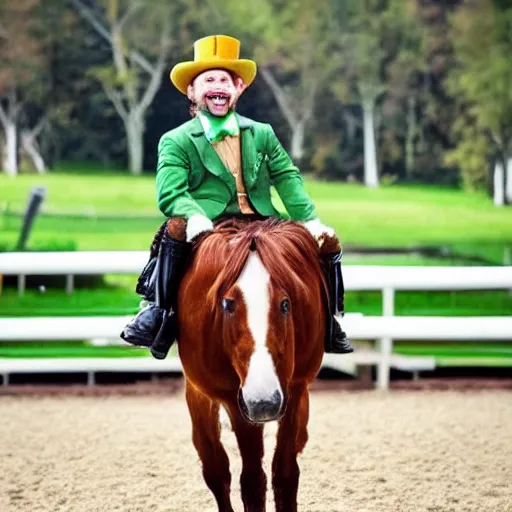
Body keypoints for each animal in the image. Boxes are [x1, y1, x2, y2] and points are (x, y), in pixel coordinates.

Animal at [176, 217, 328, 512]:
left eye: (285, 304)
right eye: (227, 304)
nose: (264, 402)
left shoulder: (292, 391)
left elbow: (284, 474)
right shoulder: (231, 401)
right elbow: (245, 480)